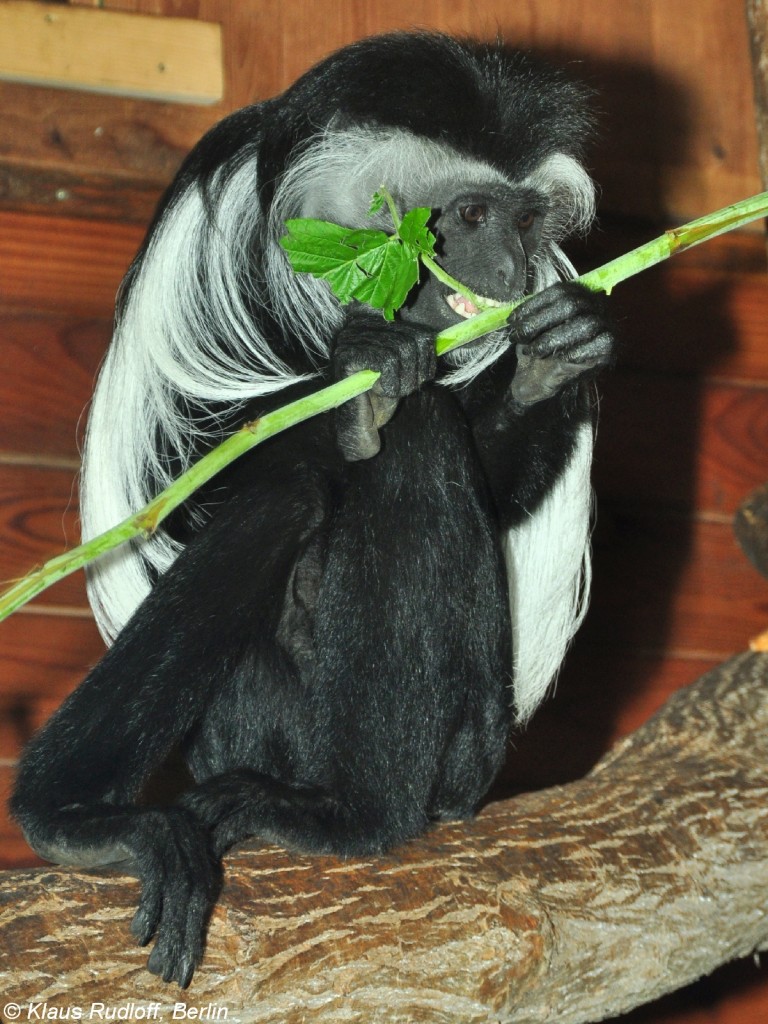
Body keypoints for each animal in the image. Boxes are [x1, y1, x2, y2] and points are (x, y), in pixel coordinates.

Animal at [10, 36, 614, 987]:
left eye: (527, 223)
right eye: (473, 213)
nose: (515, 273)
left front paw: (552, 358)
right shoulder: (209, 239)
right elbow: (180, 466)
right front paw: (351, 385)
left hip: (469, 741)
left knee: (415, 441)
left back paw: (349, 812)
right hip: (246, 721)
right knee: (303, 489)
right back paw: (80, 821)